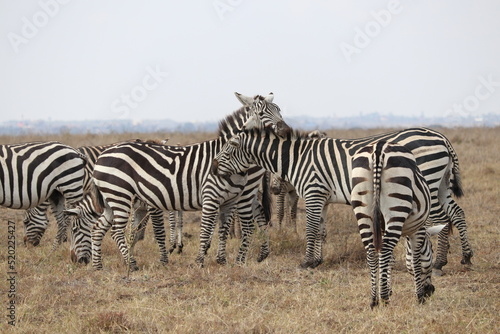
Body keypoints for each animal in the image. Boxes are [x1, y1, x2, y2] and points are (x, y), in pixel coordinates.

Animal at [90, 92, 290, 270]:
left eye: (279, 110)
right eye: (261, 113)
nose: (286, 131)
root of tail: (102, 155)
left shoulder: (230, 200)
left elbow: (223, 230)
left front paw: (222, 261)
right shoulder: (211, 196)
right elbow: (205, 230)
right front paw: (199, 262)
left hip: (111, 198)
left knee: (98, 228)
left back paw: (98, 266)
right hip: (120, 194)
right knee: (116, 231)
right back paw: (131, 264)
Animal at [211, 130, 446, 306]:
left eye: (227, 150)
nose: (213, 168)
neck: (299, 159)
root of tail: (440, 137)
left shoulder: (314, 191)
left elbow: (310, 229)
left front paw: (306, 262)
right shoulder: (322, 198)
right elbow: (321, 230)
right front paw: (317, 260)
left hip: (424, 187)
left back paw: (439, 264)